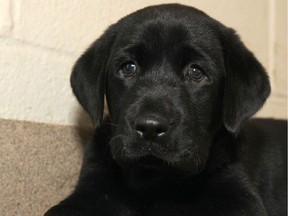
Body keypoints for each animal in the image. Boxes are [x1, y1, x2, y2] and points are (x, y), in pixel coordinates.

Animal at [44, 3, 286, 216]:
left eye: (196, 72)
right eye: (129, 67)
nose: (150, 127)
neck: (152, 180)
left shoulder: (240, 199)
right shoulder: (91, 190)